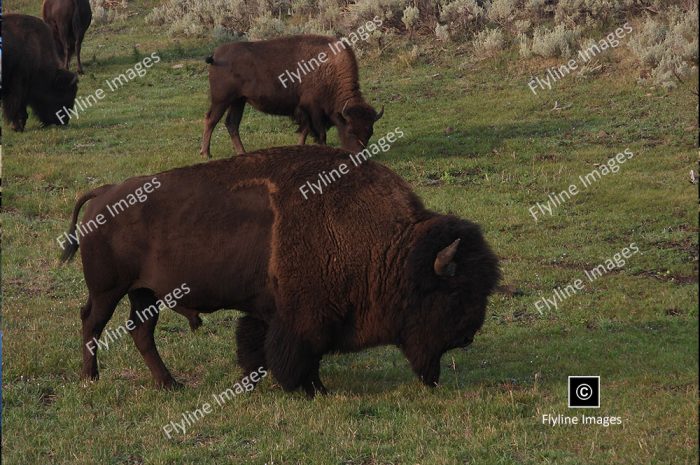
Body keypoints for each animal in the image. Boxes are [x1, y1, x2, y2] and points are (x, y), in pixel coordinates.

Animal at [58, 145, 498, 396]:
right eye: (453, 293)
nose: (467, 336)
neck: (392, 249)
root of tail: (104, 194)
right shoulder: (304, 319)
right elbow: (299, 356)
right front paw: (311, 390)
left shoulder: (274, 313)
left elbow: (260, 346)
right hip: (108, 290)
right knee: (92, 323)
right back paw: (91, 378)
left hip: (145, 294)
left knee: (140, 333)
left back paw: (170, 385)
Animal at [200, 35, 386, 158]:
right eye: (351, 131)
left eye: (370, 132)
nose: (359, 156)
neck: (329, 69)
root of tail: (216, 55)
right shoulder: (313, 110)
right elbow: (319, 134)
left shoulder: (306, 112)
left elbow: (304, 132)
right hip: (221, 100)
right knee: (211, 120)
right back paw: (206, 153)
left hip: (238, 101)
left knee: (232, 124)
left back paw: (242, 153)